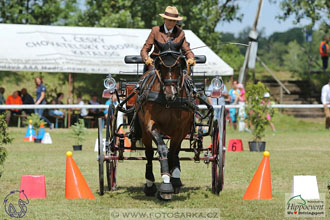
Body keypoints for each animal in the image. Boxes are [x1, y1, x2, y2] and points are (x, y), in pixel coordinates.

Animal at [135, 38, 195, 200]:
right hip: (144, 131)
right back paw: (150, 184)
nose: (170, 94)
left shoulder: (181, 129)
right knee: (149, 153)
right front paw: (166, 183)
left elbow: (173, 151)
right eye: (160, 65)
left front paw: (174, 179)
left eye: (180, 64)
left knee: (175, 151)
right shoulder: (150, 125)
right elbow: (162, 149)